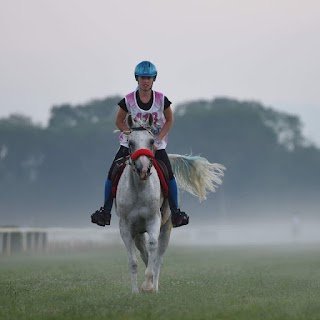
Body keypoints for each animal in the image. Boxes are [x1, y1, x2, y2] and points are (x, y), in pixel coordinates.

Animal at [115, 114, 225, 292]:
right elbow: (133, 261)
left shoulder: (154, 220)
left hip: (166, 228)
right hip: (138, 232)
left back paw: (154, 288)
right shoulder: (126, 227)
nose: (143, 169)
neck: (139, 189)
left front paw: (148, 285)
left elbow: (153, 249)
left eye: (151, 141)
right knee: (144, 253)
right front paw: (135, 292)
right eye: (130, 142)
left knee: (158, 257)